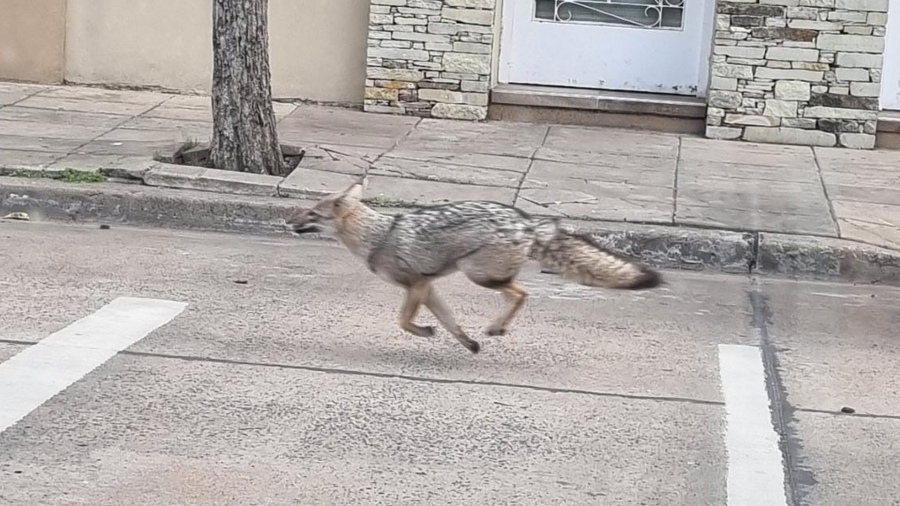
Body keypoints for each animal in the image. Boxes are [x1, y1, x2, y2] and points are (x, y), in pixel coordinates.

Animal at [286, 177, 661, 354]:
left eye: (311, 214)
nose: (287, 221)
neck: (379, 235)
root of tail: (525, 222)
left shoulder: (415, 285)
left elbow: (403, 322)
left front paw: (426, 332)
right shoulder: (428, 286)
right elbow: (450, 322)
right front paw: (467, 343)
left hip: (479, 275)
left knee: (521, 293)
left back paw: (497, 327)